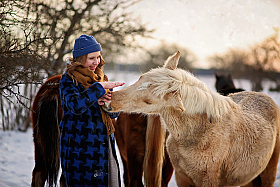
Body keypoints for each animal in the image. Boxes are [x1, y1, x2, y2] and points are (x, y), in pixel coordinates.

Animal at [103, 50, 280, 186]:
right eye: (141, 78)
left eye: (148, 101)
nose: (108, 100)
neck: (201, 133)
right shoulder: (182, 177)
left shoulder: (207, 180)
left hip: (267, 173)